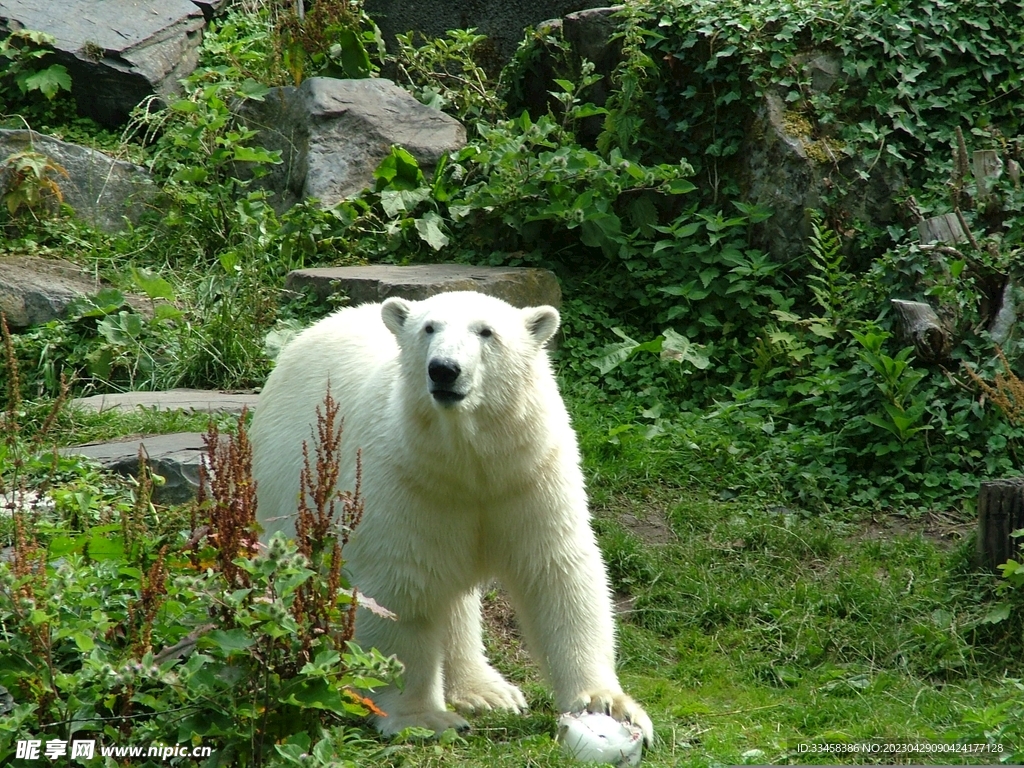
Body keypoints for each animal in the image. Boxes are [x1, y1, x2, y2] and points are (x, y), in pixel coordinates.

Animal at [249, 290, 653, 744]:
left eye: (486, 331)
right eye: (429, 328)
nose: (444, 369)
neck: (468, 462)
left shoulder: (528, 473)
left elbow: (555, 571)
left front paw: (607, 704)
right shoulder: (405, 479)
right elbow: (401, 587)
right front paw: (423, 718)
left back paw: (487, 691)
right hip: (287, 484)